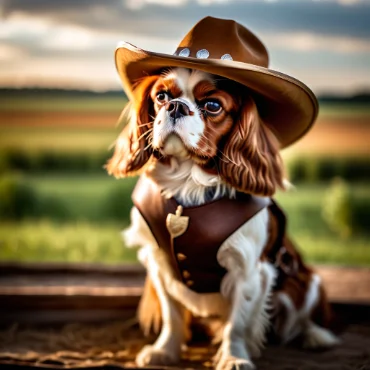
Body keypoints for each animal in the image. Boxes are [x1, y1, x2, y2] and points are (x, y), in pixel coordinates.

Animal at [106, 16, 338, 368]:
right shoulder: (159, 262)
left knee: (304, 317)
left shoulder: (249, 270)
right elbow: (173, 314)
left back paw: (316, 337)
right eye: (161, 96)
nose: (175, 107)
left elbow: (237, 323)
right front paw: (165, 350)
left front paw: (233, 357)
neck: (188, 183)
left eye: (213, 105)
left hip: (308, 280)